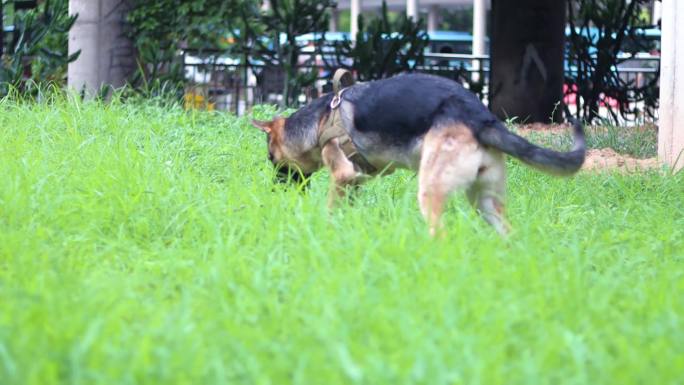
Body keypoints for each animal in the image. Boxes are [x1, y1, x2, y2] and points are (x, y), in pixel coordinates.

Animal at [254, 72, 584, 234]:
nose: (273, 191)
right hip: (486, 202)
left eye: (272, 159)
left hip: (432, 189)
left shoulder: (342, 174)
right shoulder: (355, 180)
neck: (320, 121)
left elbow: (331, 210)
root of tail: (479, 117)